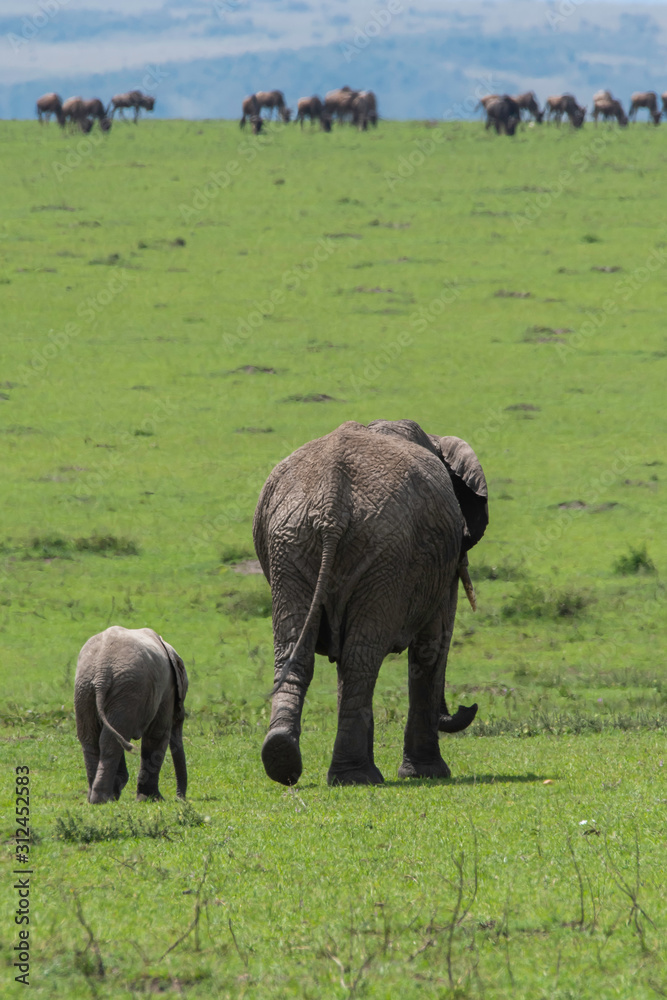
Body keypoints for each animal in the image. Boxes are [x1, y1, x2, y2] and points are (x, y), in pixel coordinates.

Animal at [74, 626, 188, 804]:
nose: (180, 799)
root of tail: (101, 674)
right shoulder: (167, 690)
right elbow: (157, 734)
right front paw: (153, 799)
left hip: (85, 688)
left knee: (92, 739)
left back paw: (97, 798)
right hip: (128, 691)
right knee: (111, 739)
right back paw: (103, 799)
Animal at [253, 419, 488, 787]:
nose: (468, 708)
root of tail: (331, 500)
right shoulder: (443, 563)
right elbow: (432, 648)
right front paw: (428, 773)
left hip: (290, 545)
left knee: (298, 652)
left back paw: (286, 758)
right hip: (384, 555)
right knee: (360, 659)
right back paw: (358, 776)